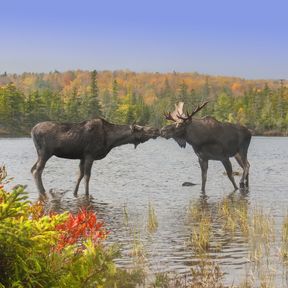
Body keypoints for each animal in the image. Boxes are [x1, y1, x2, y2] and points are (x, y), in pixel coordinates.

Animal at [31, 117, 160, 196]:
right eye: (142, 129)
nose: (156, 130)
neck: (111, 140)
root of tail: (32, 130)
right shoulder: (90, 155)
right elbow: (87, 176)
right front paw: (87, 194)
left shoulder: (82, 157)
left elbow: (79, 175)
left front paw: (75, 192)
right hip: (45, 153)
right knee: (37, 171)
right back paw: (42, 191)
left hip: (39, 154)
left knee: (32, 169)